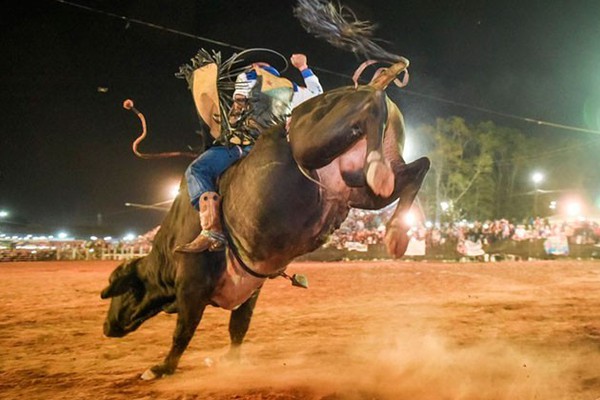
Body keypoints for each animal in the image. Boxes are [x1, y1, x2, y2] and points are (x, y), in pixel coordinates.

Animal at [102, 1, 432, 382]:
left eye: (119, 290)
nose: (106, 326)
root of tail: (365, 85)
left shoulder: (192, 287)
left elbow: (183, 331)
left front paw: (159, 369)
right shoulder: (250, 288)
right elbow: (238, 326)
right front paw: (232, 362)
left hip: (313, 145)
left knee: (372, 111)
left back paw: (379, 172)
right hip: (356, 188)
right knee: (416, 169)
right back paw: (396, 232)